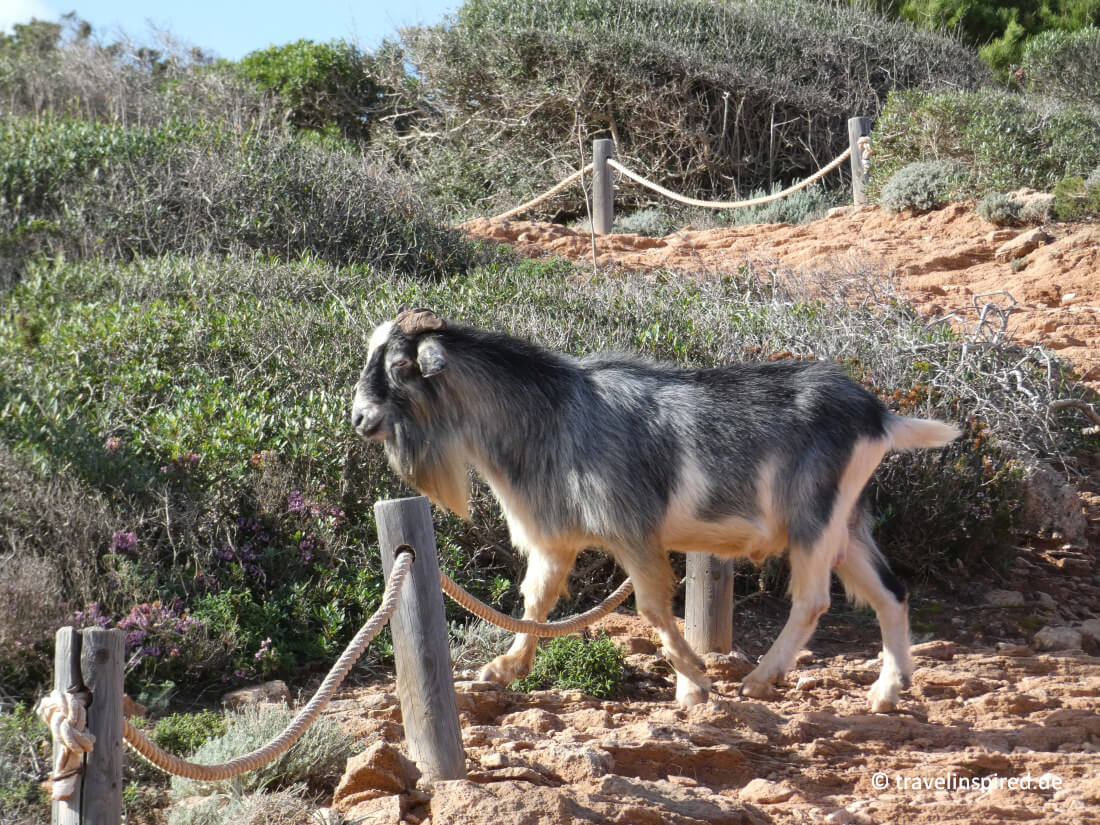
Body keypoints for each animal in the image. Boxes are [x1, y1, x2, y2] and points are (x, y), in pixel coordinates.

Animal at [351, 308, 960, 710]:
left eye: (401, 365)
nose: (359, 419)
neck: (551, 412)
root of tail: (880, 416)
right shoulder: (557, 538)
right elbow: (536, 599)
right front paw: (504, 669)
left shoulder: (631, 531)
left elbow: (650, 609)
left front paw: (695, 679)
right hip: (846, 523)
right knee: (891, 593)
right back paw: (887, 691)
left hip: (815, 517)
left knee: (812, 600)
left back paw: (760, 680)